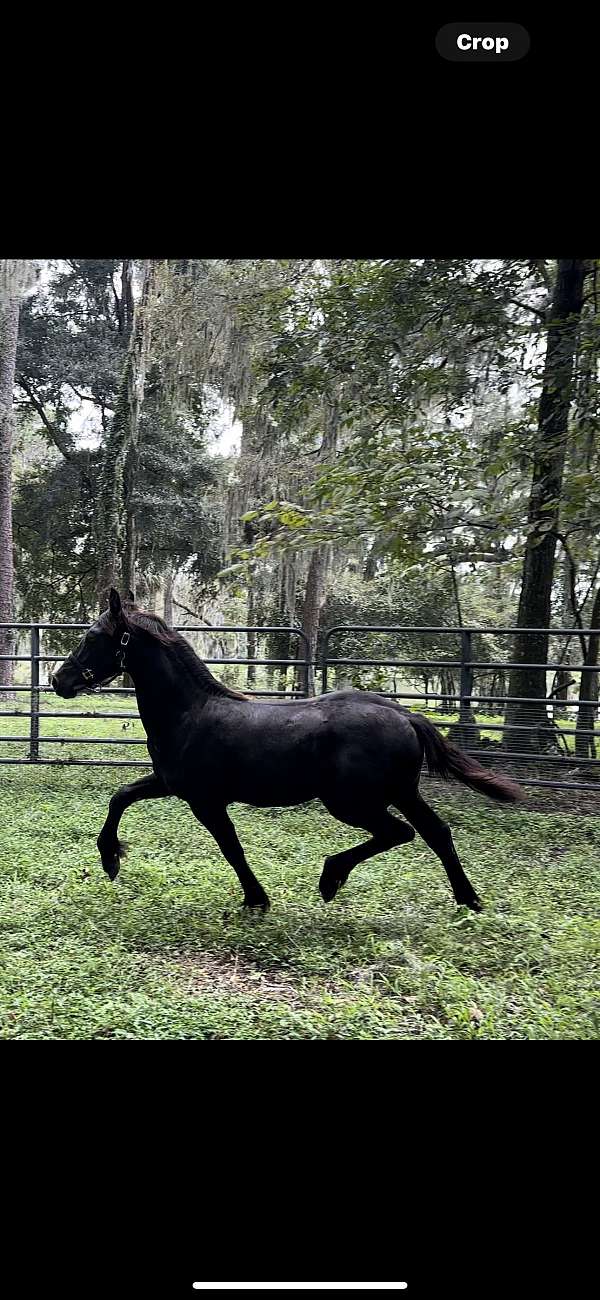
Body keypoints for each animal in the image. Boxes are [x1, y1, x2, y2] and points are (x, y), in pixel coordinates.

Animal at [50, 592, 519, 915]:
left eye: (93, 637)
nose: (59, 680)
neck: (190, 712)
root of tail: (404, 714)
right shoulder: (168, 783)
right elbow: (121, 797)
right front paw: (110, 858)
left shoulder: (204, 800)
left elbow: (231, 847)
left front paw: (256, 899)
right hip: (402, 792)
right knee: (437, 832)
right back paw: (468, 901)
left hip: (352, 802)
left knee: (398, 833)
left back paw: (331, 878)